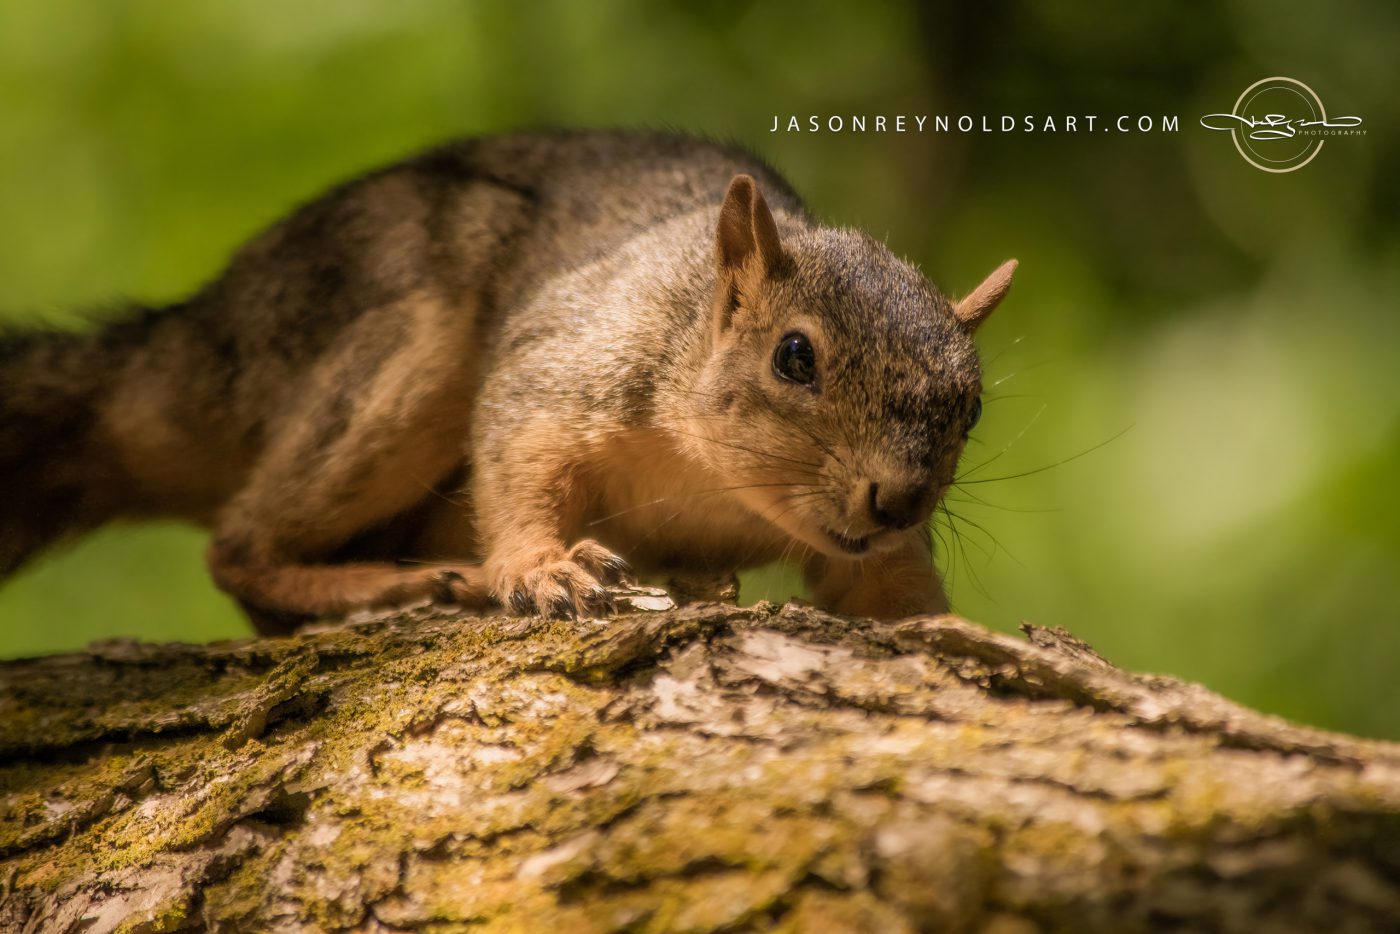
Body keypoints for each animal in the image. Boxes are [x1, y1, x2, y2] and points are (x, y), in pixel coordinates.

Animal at [0, 129, 1015, 634]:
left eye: (969, 408)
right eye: (794, 356)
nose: (897, 499)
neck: (716, 488)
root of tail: (206, 335)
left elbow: (894, 595)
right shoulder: (564, 363)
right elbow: (520, 455)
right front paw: (540, 566)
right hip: (399, 362)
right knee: (238, 547)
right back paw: (394, 586)